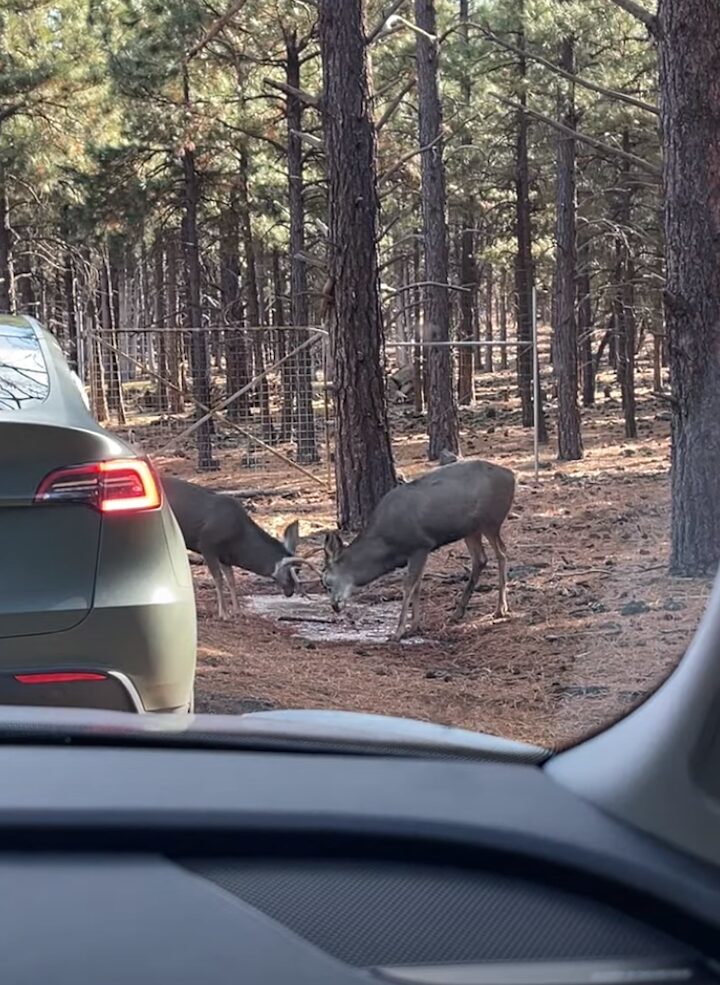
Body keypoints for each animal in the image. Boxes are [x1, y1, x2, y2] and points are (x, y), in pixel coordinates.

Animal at [166, 472, 316, 620]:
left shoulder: (224, 556)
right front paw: (224, 613)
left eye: (298, 571)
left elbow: (231, 580)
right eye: (293, 572)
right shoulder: (206, 544)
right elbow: (218, 579)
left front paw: (238, 611)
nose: (290, 592)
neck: (238, 536)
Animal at [320, 462, 512, 644]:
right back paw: (458, 612)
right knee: (481, 559)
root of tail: (511, 475)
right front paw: (414, 626)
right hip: (471, 529)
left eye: (327, 581)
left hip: (491, 521)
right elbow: (418, 586)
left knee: (502, 552)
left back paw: (500, 609)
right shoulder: (420, 551)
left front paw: (398, 632)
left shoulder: (420, 545)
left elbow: (409, 586)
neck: (387, 545)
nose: (335, 606)